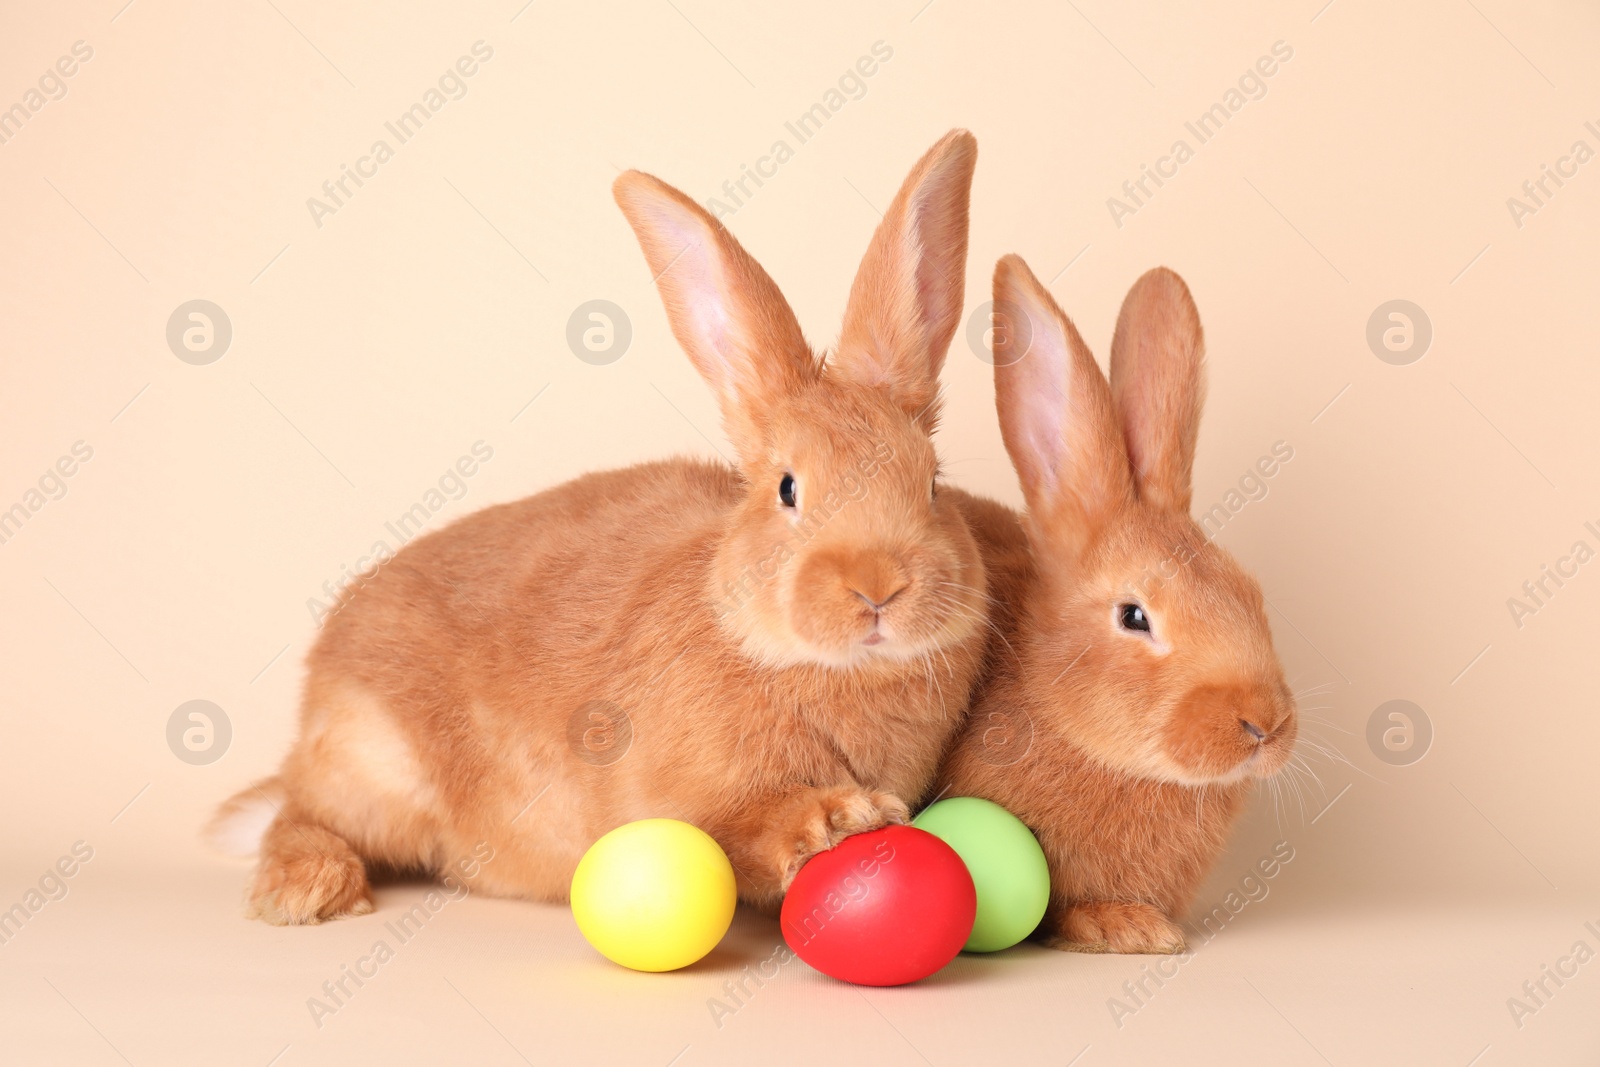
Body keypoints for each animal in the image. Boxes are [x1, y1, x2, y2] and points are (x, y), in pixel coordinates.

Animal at [211, 129, 985, 921]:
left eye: (932, 481)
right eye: (787, 488)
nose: (878, 587)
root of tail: (313, 706)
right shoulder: (682, 803)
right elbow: (738, 831)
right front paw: (838, 816)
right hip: (380, 770)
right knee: (299, 814)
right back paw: (308, 888)